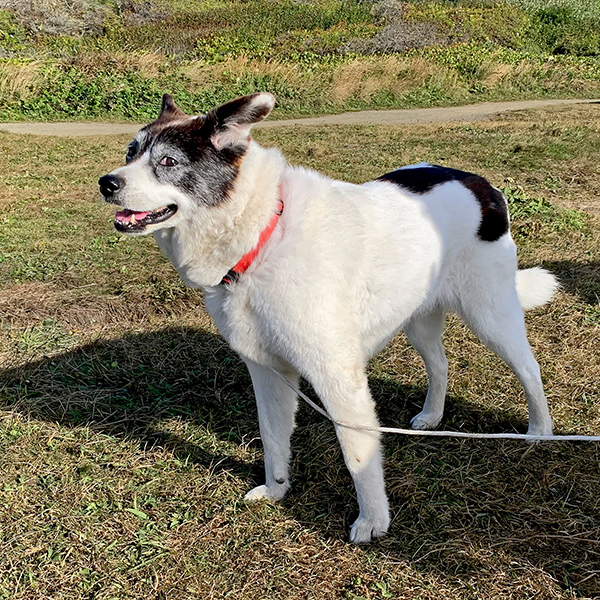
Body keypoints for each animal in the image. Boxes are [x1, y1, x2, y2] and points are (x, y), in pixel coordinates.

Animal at [99, 92, 556, 544]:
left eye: (168, 161)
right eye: (131, 152)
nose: (107, 183)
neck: (262, 235)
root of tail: (481, 183)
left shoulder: (337, 378)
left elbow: (358, 455)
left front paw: (373, 521)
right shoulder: (268, 371)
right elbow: (273, 437)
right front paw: (277, 490)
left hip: (491, 315)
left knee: (529, 369)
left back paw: (540, 432)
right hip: (416, 316)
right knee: (441, 364)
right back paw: (432, 417)